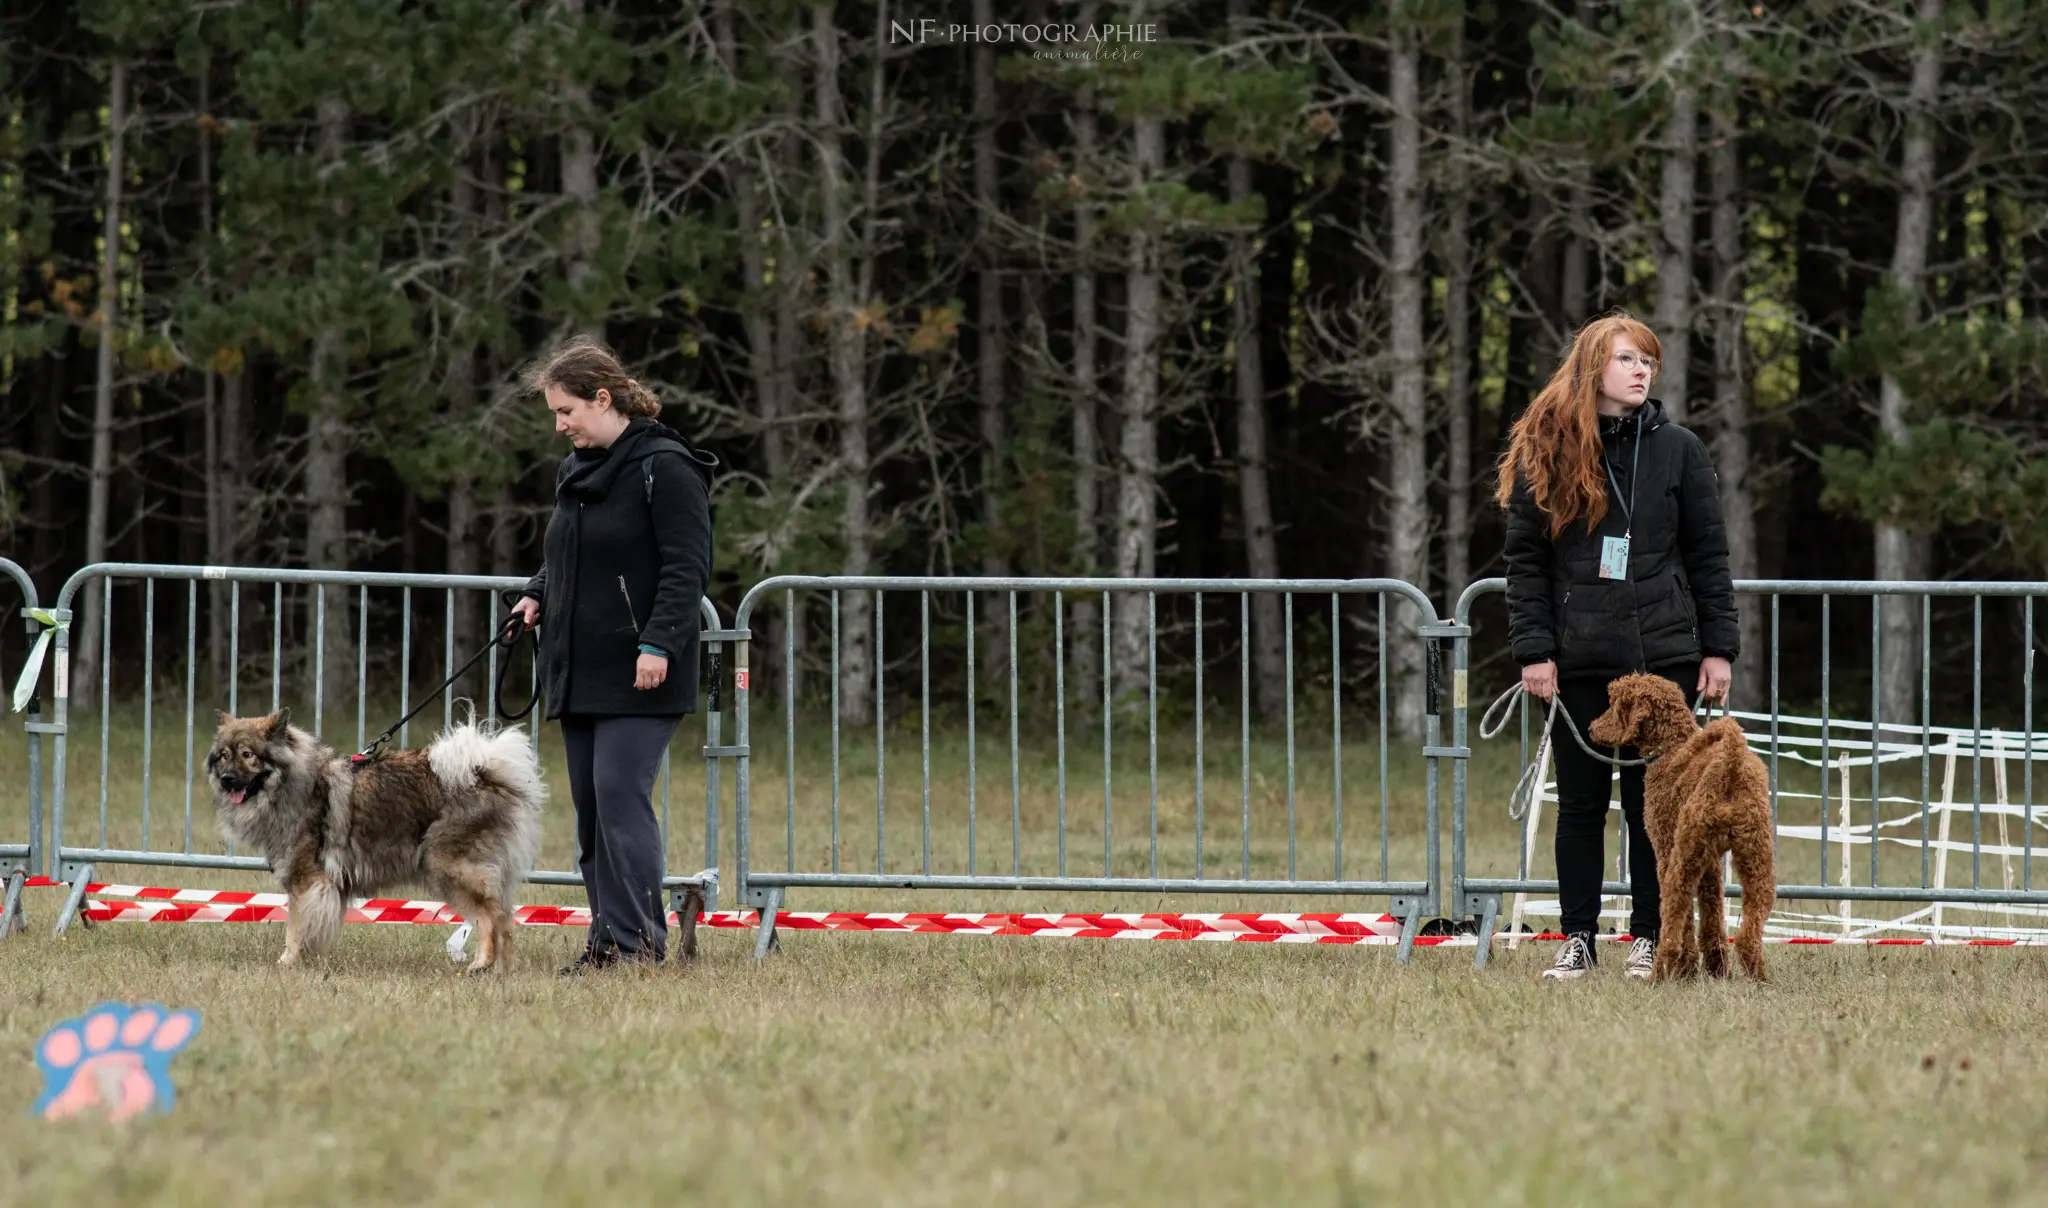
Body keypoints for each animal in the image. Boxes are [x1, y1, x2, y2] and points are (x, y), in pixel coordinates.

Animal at [205, 708, 544, 974]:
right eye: (224, 756)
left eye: (248, 755)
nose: (226, 779)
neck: (297, 785)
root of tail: (487, 774)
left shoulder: (307, 880)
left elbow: (296, 926)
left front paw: (288, 962)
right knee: (505, 921)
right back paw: (501, 970)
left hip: (449, 868)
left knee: (490, 916)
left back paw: (481, 964)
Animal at [1581, 675, 1777, 990]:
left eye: (1616, 705)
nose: (1590, 728)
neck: (1672, 746)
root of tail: (1730, 764)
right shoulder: (1710, 863)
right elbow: (1711, 912)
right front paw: (1716, 970)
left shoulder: (1665, 849)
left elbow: (1686, 922)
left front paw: (1688, 970)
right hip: (1757, 859)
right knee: (1749, 932)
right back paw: (1758, 978)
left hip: (1682, 858)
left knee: (1673, 921)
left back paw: (1658, 973)